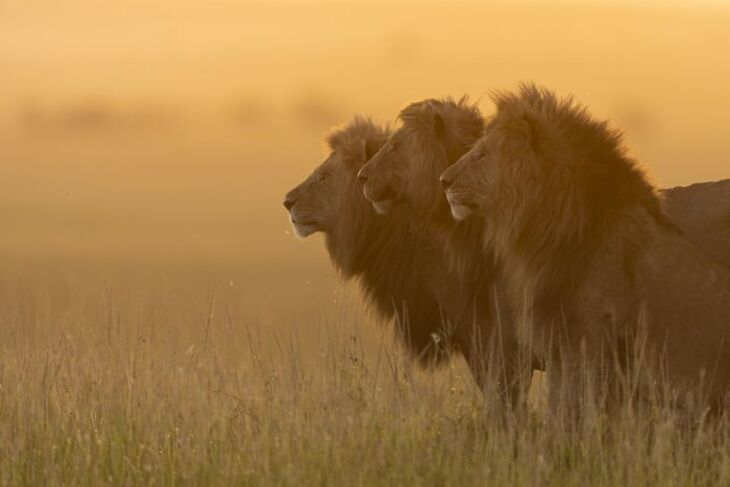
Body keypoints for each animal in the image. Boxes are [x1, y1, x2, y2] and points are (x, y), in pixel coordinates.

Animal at [438, 85, 728, 416]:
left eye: (482, 153)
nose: (443, 180)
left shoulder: (588, 340)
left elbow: (571, 411)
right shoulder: (561, 345)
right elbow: (561, 407)